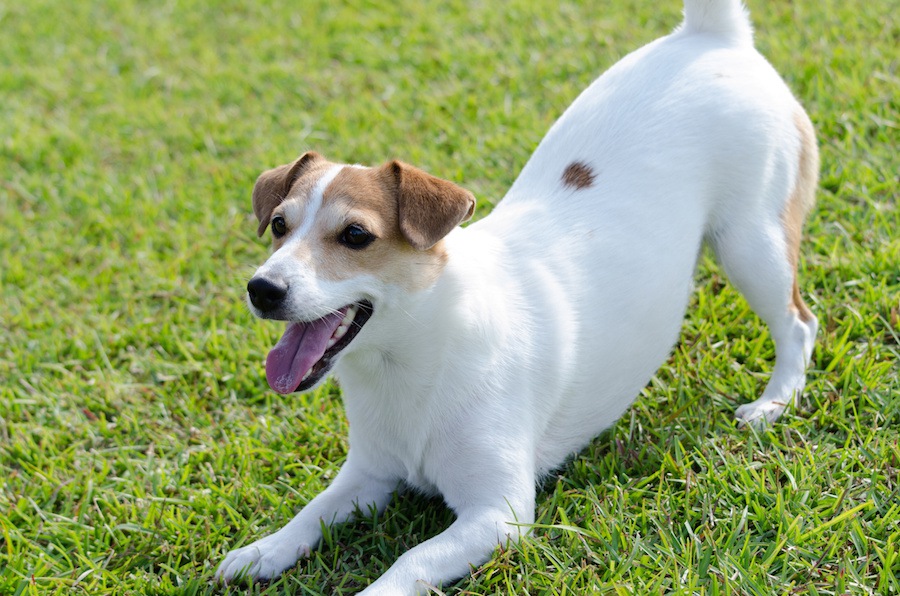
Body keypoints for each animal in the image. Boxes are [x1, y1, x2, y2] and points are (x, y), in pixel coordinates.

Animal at [216, 2, 816, 592]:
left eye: (356, 235)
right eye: (278, 225)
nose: (262, 289)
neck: (415, 357)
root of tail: (709, 34)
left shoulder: (495, 514)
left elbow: (408, 562)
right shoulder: (368, 475)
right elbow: (311, 513)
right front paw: (261, 551)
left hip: (750, 243)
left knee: (798, 322)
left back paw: (774, 402)